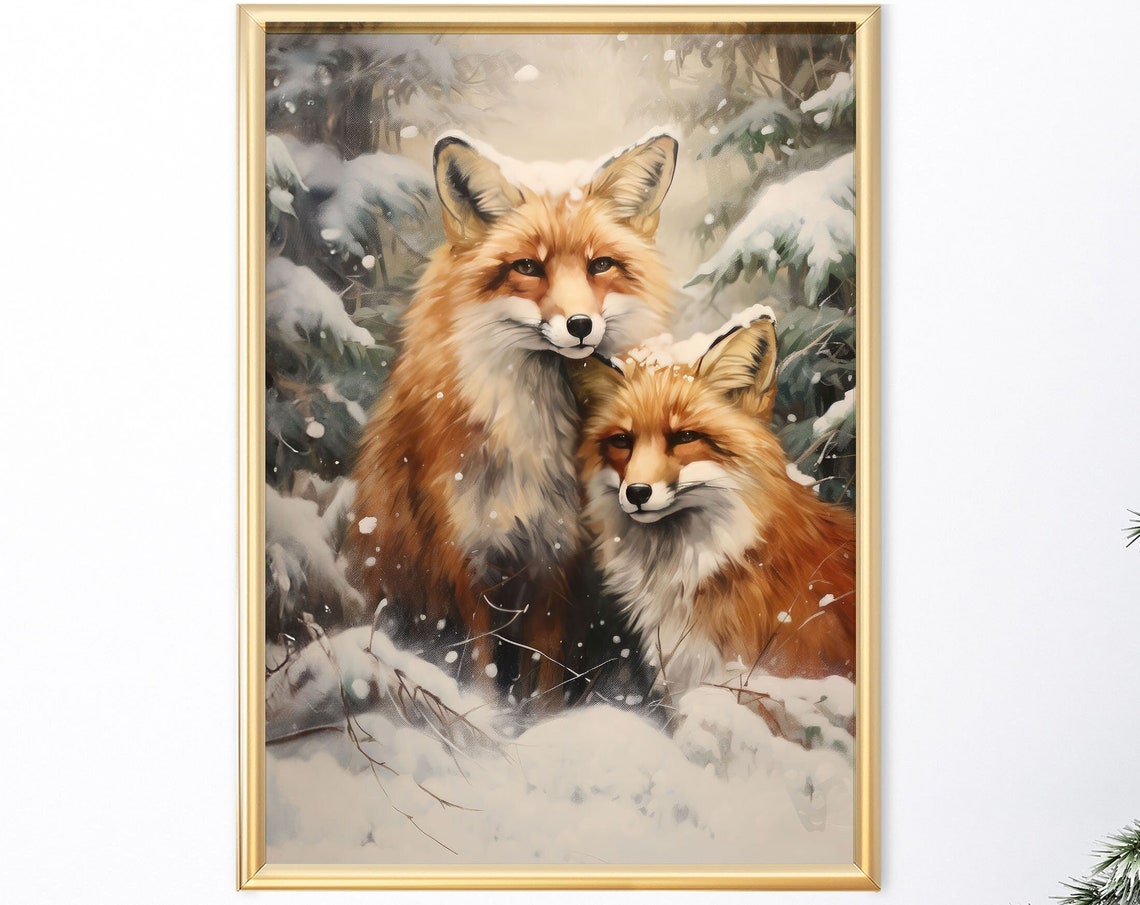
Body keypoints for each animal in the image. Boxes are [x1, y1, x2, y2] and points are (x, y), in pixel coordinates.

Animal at [343, 132, 678, 703]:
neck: (533, 439)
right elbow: (480, 672)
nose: (580, 324)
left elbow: (542, 681)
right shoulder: (469, 560)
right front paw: (488, 720)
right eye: (527, 267)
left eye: (600, 265)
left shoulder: (558, 564)